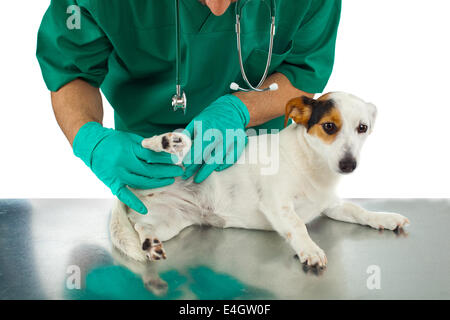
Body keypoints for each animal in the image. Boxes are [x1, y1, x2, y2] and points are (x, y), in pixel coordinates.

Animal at [109, 92, 408, 268]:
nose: (348, 165)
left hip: (170, 221)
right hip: (175, 158)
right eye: (329, 126)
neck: (310, 163)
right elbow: (298, 226)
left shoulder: (331, 205)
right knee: (152, 146)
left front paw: (385, 218)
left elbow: (359, 210)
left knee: (143, 227)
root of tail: (133, 189)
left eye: (362, 128)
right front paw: (309, 249)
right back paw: (166, 141)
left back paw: (150, 244)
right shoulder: (278, 205)